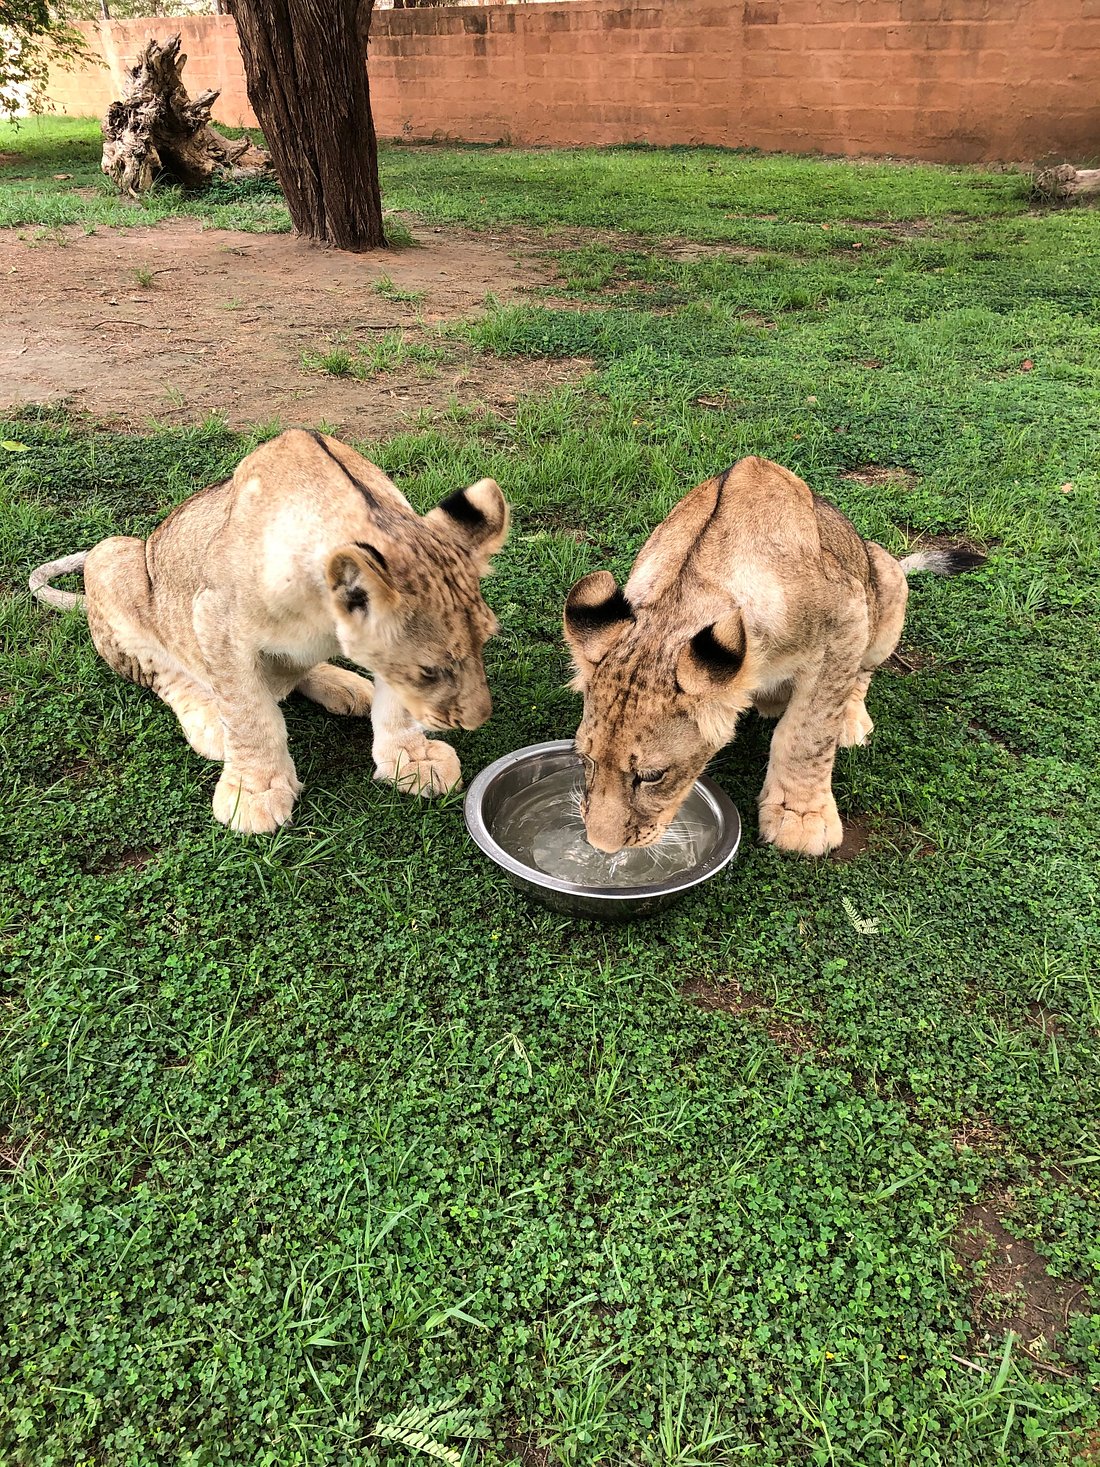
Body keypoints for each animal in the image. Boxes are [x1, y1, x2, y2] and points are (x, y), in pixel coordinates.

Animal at [30, 429, 509, 834]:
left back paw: (344, 685)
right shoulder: (215, 620)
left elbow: (396, 703)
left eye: (483, 645)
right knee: (168, 673)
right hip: (111, 554)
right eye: (430, 671)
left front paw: (411, 756)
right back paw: (210, 720)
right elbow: (249, 715)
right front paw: (254, 791)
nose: (477, 721)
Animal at [563, 456, 984, 858]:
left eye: (652, 776)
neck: (685, 596)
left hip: (885, 578)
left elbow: (808, 734)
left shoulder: (846, 622)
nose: (601, 846)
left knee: (861, 674)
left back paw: (849, 721)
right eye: (587, 760)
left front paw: (801, 817)